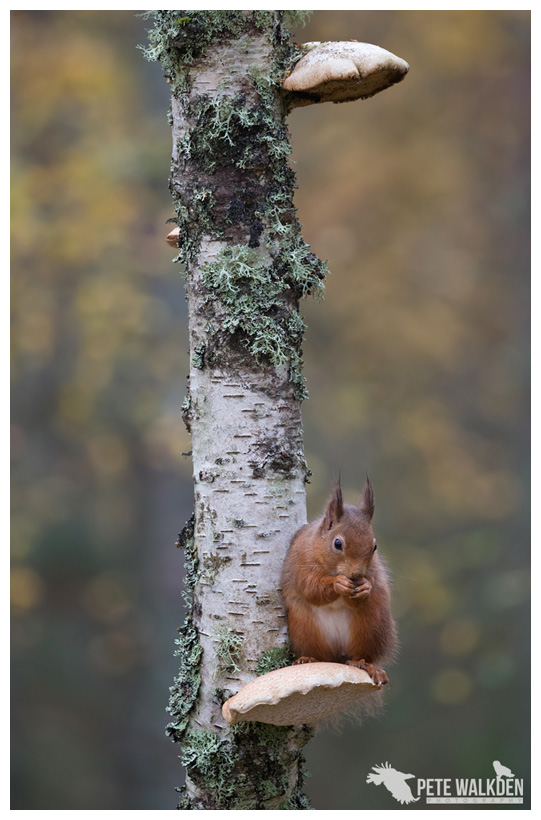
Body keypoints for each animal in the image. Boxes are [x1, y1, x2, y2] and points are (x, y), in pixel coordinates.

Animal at [280, 480, 394, 684]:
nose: (356, 574)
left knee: (361, 655)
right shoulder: (301, 562)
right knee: (318, 654)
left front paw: (366, 587)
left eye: (374, 546)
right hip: (305, 629)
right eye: (338, 544)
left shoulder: (372, 572)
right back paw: (308, 659)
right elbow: (310, 588)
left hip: (371, 626)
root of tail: (338, 655)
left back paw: (367, 665)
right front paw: (338, 584)